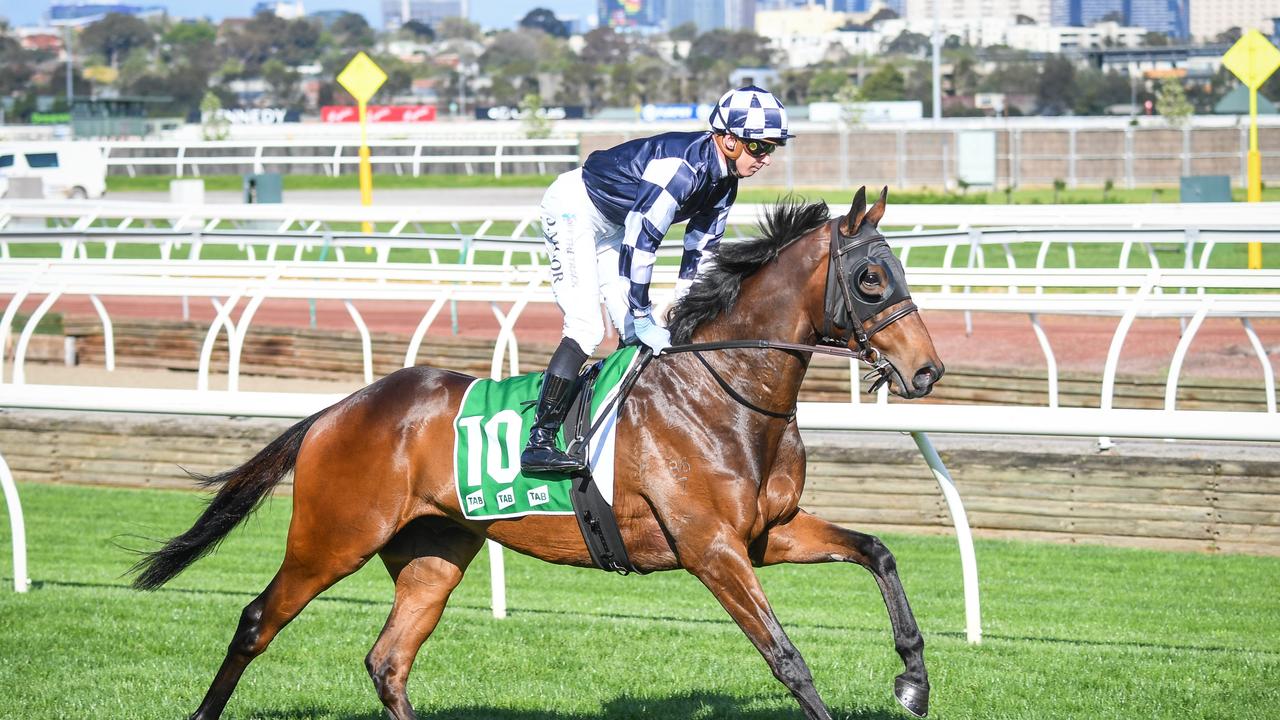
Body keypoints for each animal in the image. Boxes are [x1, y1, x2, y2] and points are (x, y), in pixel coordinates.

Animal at [135, 188, 947, 717]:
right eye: (871, 279)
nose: (928, 372)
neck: (726, 395)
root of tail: (339, 409)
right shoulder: (711, 548)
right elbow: (787, 658)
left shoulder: (764, 532)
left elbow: (878, 552)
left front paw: (913, 679)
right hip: (331, 538)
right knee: (256, 622)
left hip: (434, 550)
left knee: (388, 660)